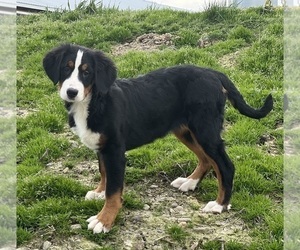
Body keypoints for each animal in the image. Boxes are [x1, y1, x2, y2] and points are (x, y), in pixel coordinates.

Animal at [43, 44, 274, 233]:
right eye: (66, 68)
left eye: (87, 72)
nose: (71, 92)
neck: (93, 102)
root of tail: (213, 73)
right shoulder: (103, 147)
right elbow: (104, 173)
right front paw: (99, 193)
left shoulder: (115, 151)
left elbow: (114, 191)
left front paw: (104, 220)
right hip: (186, 131)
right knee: (206, 159)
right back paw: (189, 182)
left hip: (205, 129)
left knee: (225, 165)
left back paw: (220, 205)